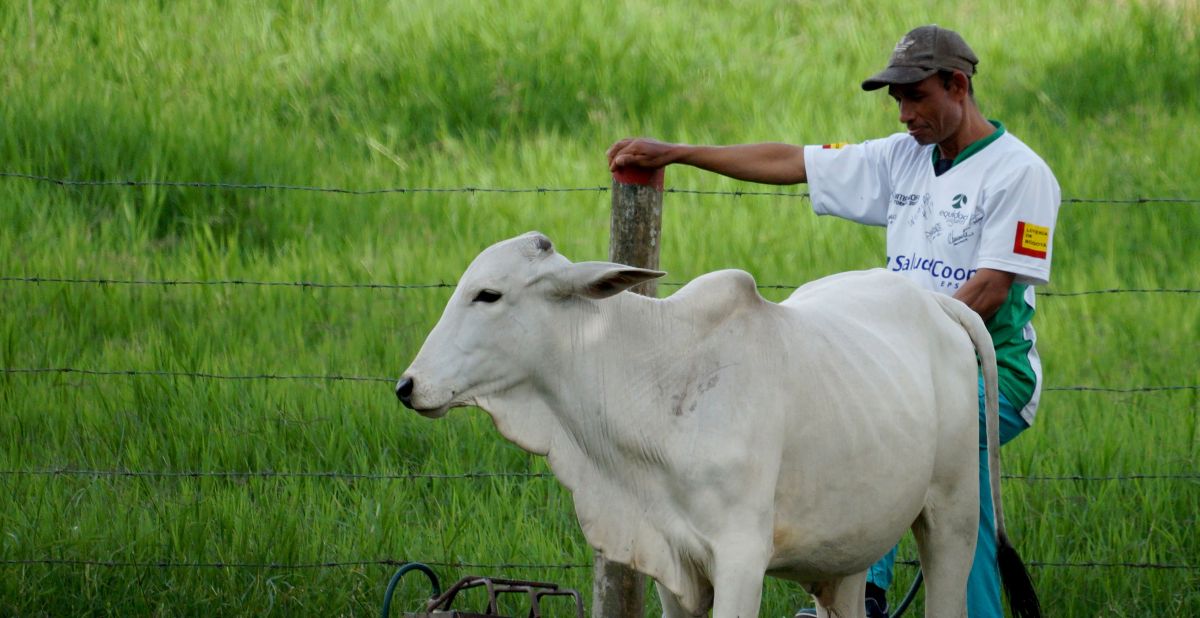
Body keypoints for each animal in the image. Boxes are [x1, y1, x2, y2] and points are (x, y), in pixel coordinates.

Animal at [395, 232, 1039, 618]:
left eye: (488, 294)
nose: (408, 386)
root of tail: (937, 303)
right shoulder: (670, 567)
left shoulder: (740, 560)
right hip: (851, 550)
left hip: (953, 516)